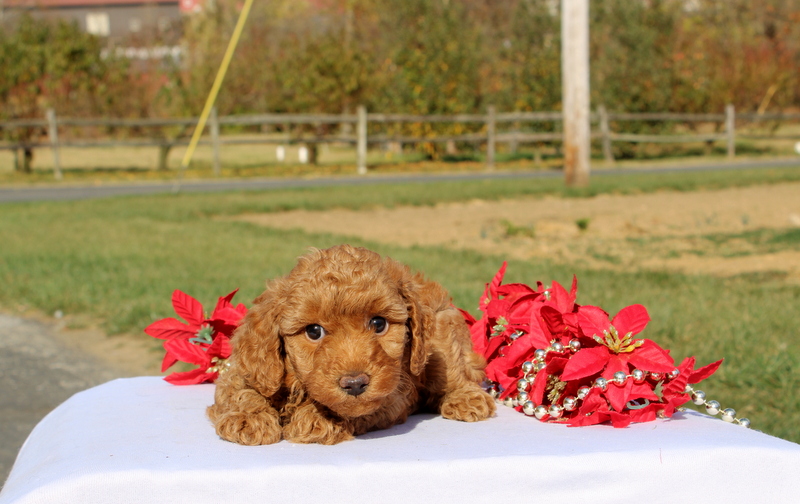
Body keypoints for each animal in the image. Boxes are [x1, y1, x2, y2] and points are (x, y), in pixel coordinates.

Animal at [206, 244, 494, 444]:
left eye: (379, 324)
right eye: (314, 331)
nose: (355, 383)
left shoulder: (394, 393)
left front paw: (317, 419)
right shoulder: (247, 370)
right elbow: (240, 390)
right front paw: (248, 418)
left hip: (443, 334)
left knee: (455, 371)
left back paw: (467, 399)